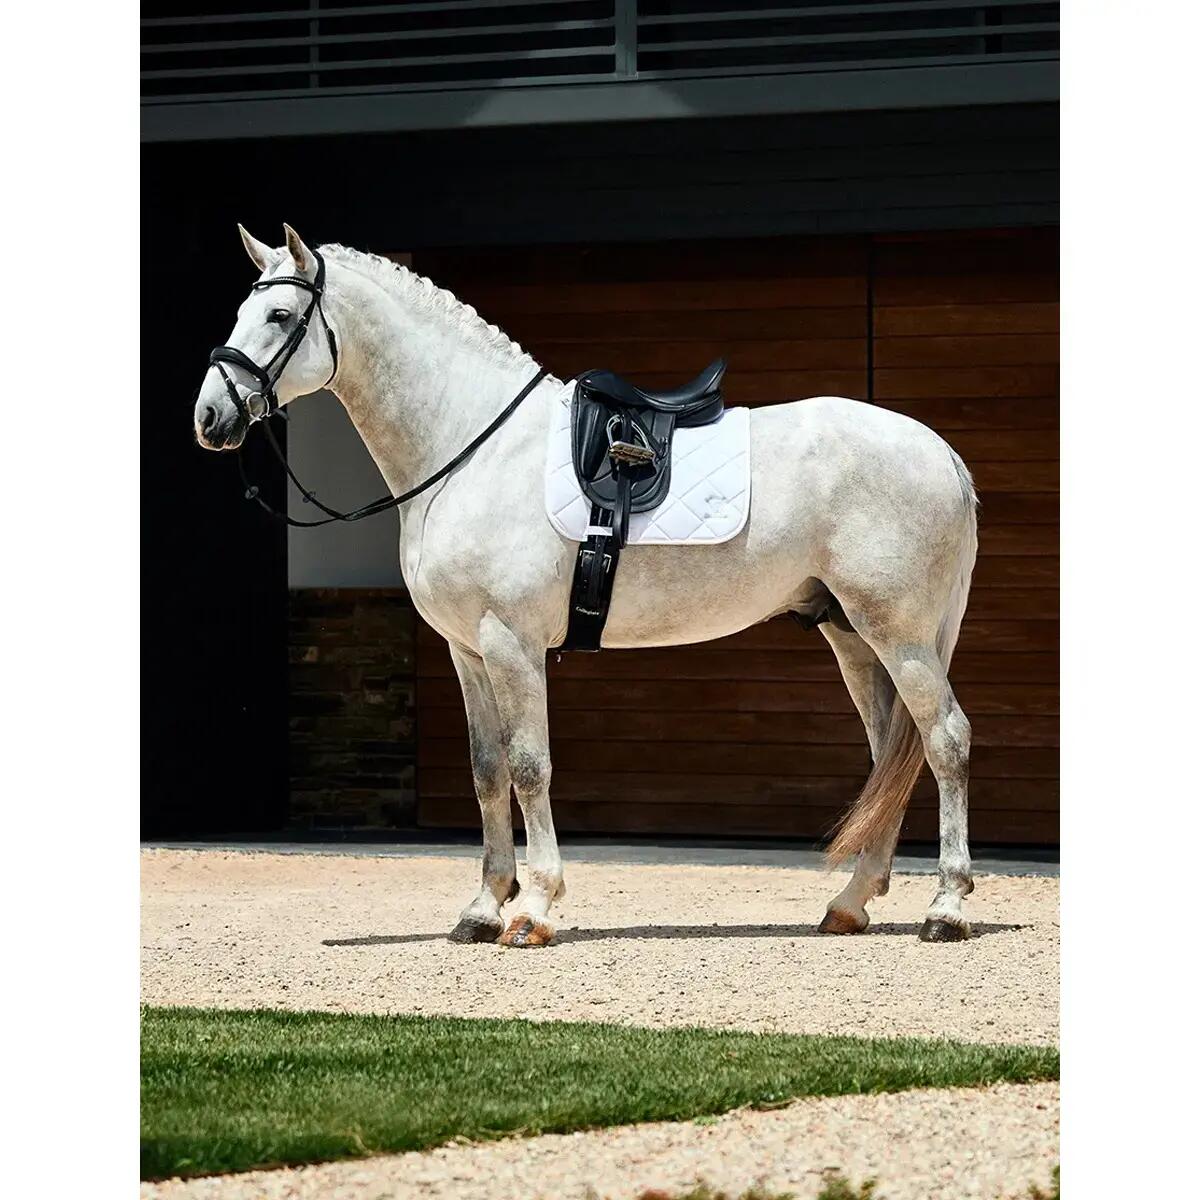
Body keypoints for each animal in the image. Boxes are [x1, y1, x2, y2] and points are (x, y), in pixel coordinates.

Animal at [193, 224, 979, 947]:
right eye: (239, 310)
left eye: (280, 316)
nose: (210, 417)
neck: (471, 449)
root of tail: (941, 453)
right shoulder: (466, 652)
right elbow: (486, 771)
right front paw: (482, 908)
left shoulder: (510, 645)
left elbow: (529, 767)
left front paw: (535, 907)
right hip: (853, 636)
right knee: (891, 754)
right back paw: (851, 902)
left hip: (900, 636)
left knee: (945, 740)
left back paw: (947, 907)